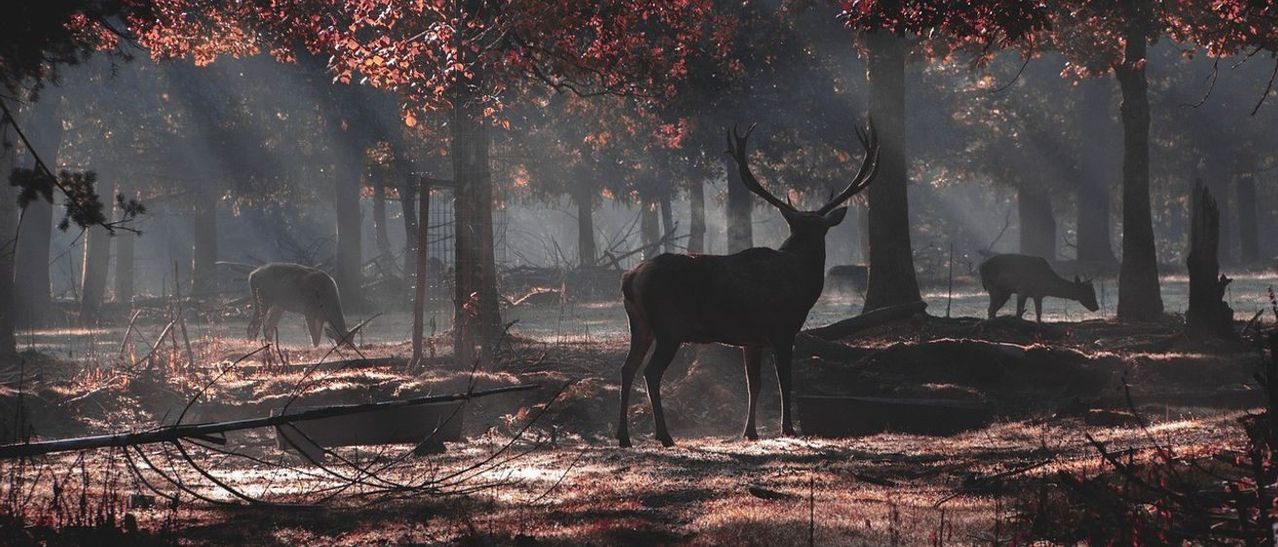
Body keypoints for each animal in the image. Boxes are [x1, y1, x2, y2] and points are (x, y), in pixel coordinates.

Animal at [616, 120, 879, 448]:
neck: (802, 283)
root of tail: (630, 278)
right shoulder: (782, 329)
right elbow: (783, 380)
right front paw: (788, 428)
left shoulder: (751, 339)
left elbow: (753, 384)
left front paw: (750, 431)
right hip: (669, 325)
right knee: (650, 372)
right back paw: (664, 435)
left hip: (640, 324)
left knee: (626, 368)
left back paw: (623, 436)